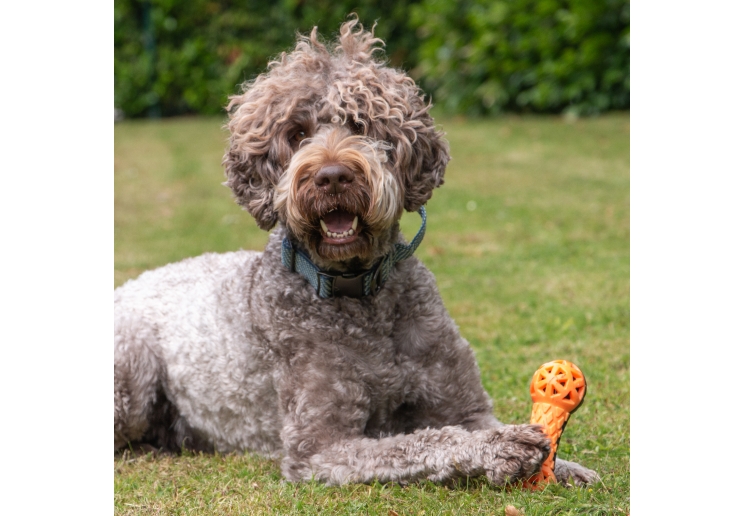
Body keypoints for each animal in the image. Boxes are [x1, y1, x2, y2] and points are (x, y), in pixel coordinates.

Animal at [112, 19, 600, 488]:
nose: (331, 177)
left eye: (361, 125)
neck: (358, 293)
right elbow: (425, 442)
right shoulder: (320, 447)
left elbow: (477, 425)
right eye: (297, 133)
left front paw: (566, 467)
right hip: (132, 369)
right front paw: (500, 448)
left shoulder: (465, 405)